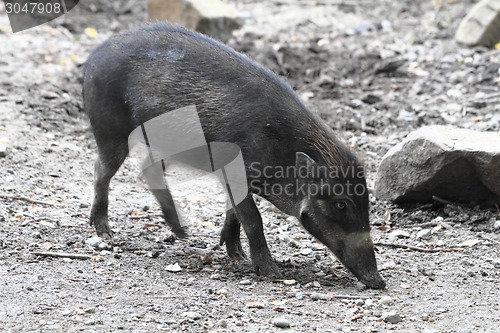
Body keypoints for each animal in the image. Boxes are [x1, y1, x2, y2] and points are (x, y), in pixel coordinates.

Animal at [84, 23, 384, 288]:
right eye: (341, 203)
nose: (379, 282)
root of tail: (94, 56)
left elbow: (234, 213)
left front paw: (237, 257)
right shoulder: (234, 171)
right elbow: (253, 219)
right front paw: (271, 273)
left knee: (148, 168)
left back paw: (182, 233)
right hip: (110, 129)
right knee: (102, 169)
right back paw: (106, 233)